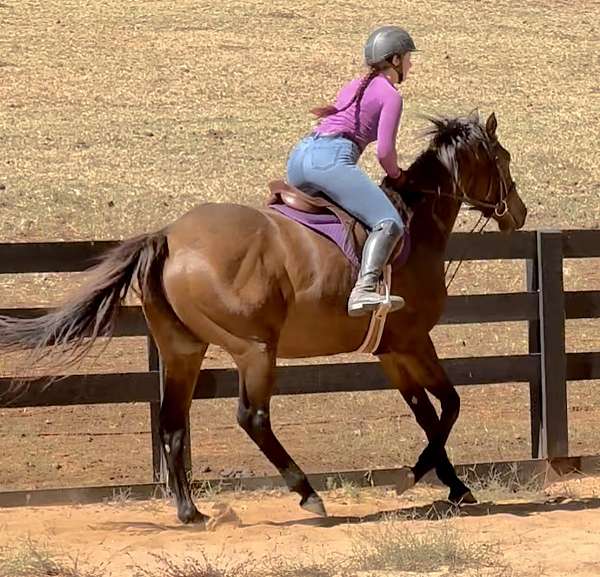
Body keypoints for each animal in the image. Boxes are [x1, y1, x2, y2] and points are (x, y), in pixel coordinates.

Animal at [0, 111, 524, 520]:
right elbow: (449, 407)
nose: (517, 212)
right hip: (254, 349)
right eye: (503, 158)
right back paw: (307, 493)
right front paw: (416, 476)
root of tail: (170, 236)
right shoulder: (414, 342)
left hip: (183, 350)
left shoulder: (390, 351)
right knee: (252, 417)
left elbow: (426, 413)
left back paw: (191, 512)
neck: (415, 224)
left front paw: (454, 485)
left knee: (172, 422)